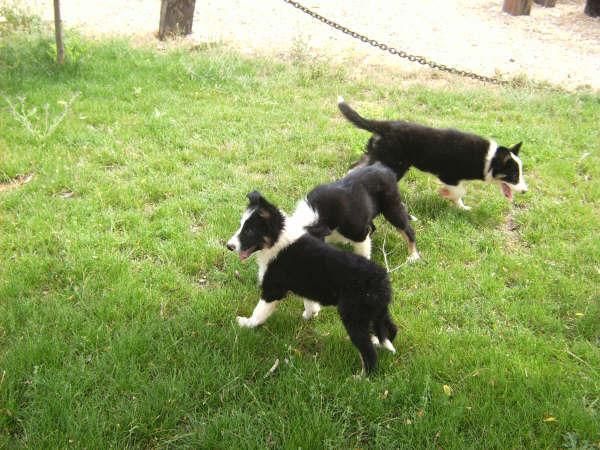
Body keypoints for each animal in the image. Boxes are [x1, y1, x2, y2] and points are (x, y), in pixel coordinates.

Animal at [225, 192, 398, 374]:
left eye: (249, 231)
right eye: (241, 226)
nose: (229, 246)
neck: (278, 239)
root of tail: (382, 281)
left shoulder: (272, 290)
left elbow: (259, 312)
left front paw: (246, 323)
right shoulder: (306, 285)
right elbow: (309, 302)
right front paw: (310, 314)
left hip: (354, 316)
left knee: (368, 353)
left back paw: (362, 375)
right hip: (378, 312)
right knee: (391, 329)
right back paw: (379, 343)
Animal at [292, 163, 420, 264]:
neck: (318, 213)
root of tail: (386, 169)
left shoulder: (358, 232)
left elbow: (362, 251)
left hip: (391, 208)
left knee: (408, 230)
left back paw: (413, 256)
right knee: (372, 227)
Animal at [340, 96, 528, 209]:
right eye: (513, 175)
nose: (525, 191)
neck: (489, 159)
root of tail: (385, 126)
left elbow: (460, 195)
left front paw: (462, 207)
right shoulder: (448, 176)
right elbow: (460, 191)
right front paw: (444, 194)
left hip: (375, 155)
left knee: (353, 168)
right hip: (394, 165)